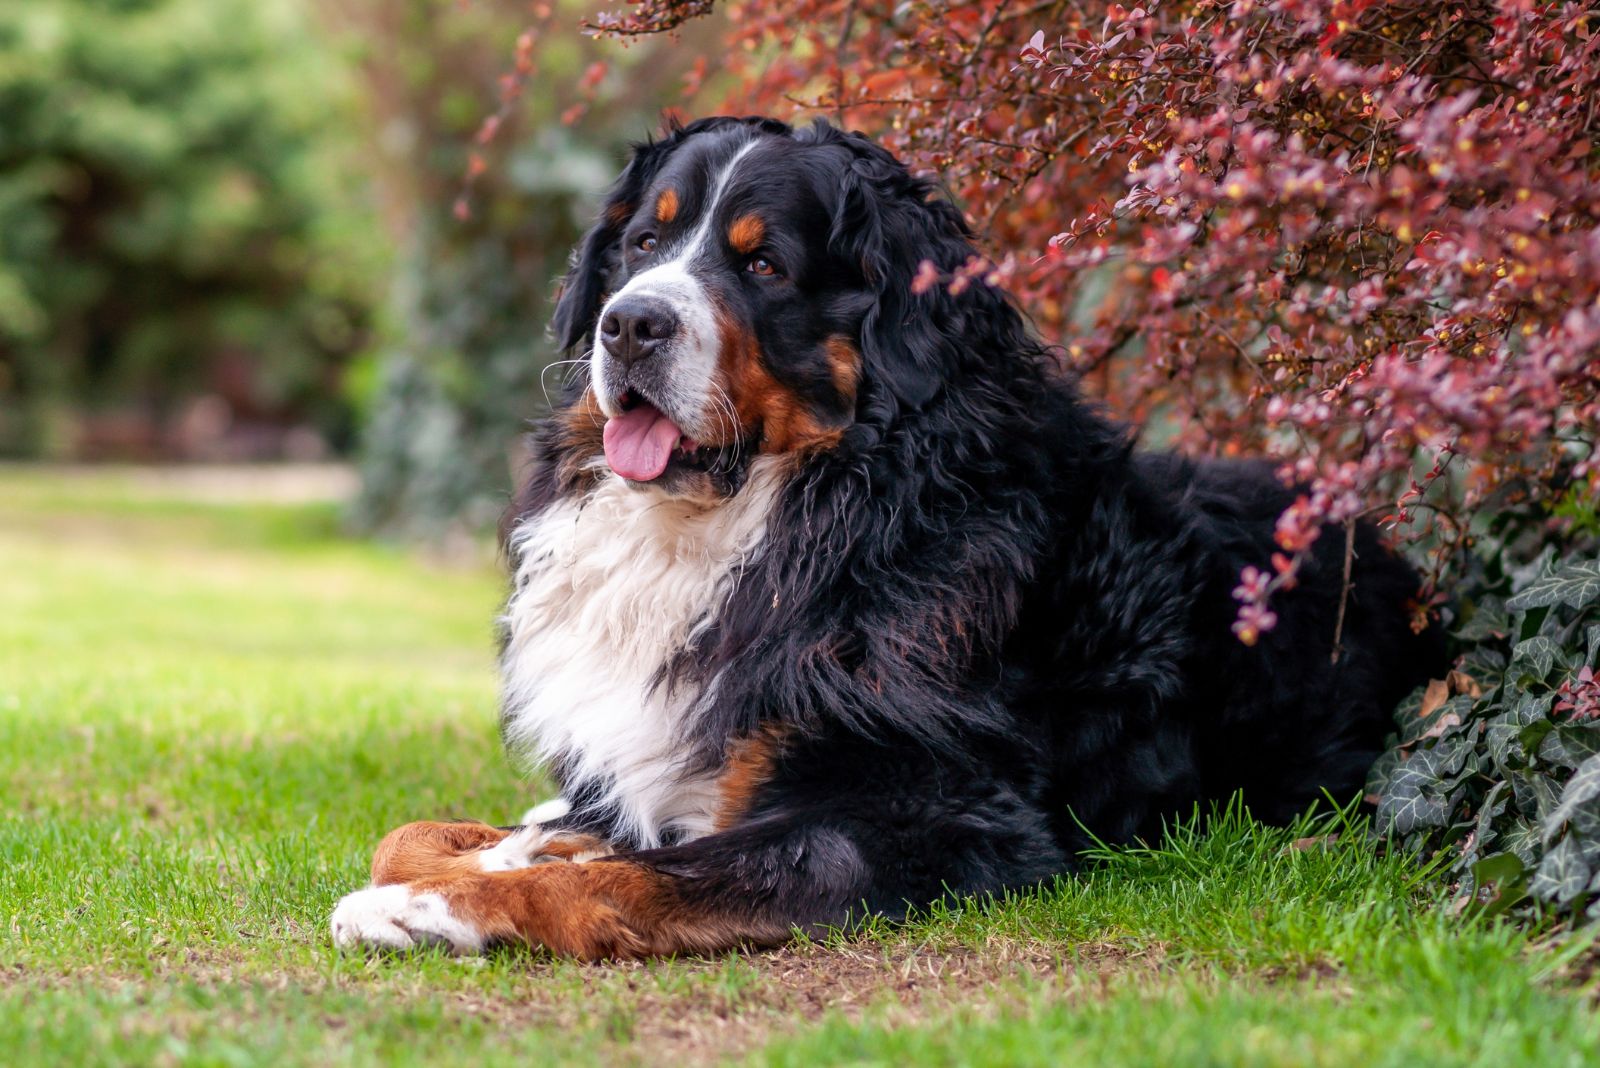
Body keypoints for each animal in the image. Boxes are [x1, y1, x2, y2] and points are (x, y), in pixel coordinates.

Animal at [328, 115, 1452, 959]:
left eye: (764, 264)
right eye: (642, 245)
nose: (631, 324)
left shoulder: (925, 819)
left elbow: (635, 875)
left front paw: (431, 909)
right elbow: (423, 831)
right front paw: (471, 861)